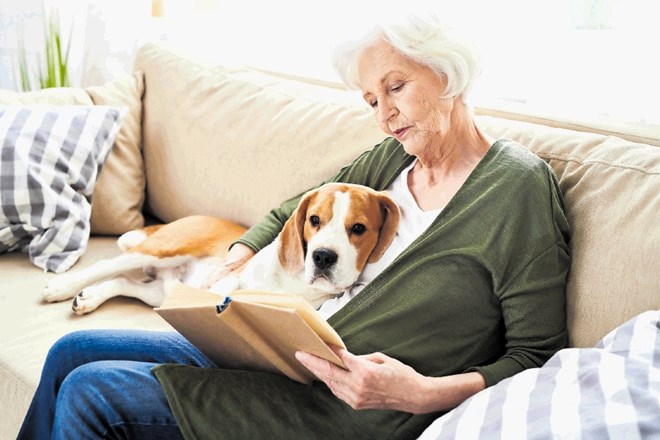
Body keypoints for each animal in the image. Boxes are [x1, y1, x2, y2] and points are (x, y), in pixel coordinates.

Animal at [45, 182, 402, 312]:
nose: (323, 256)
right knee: (106, 266)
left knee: (121, 282)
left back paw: (89, 298)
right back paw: (62, 288)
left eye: (358, 228)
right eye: (314, 220)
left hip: (162, 292)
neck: (294, 283)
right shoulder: (233, 278)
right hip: (165, 248)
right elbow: (229, 289)